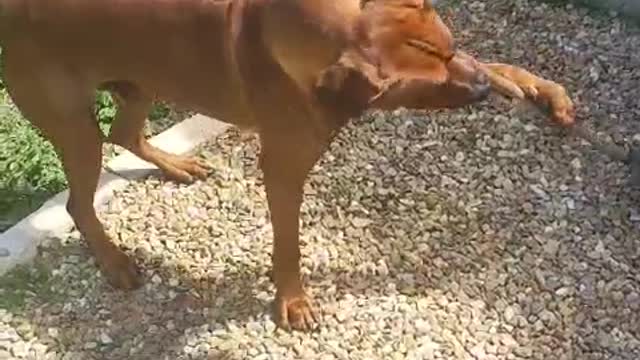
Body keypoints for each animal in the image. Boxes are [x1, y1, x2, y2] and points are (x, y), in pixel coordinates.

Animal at [0, 0, 576, 330]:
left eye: (451, 49)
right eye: (426, 87)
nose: (478, 90)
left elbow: (501, 64)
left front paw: (536, 88)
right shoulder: (282, 168)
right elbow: (288, 246)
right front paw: (293, 301)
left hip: (141, 81)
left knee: (124, 133)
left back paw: (175, 166)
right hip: (75, 123)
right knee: (80, 201)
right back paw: (114, 261)